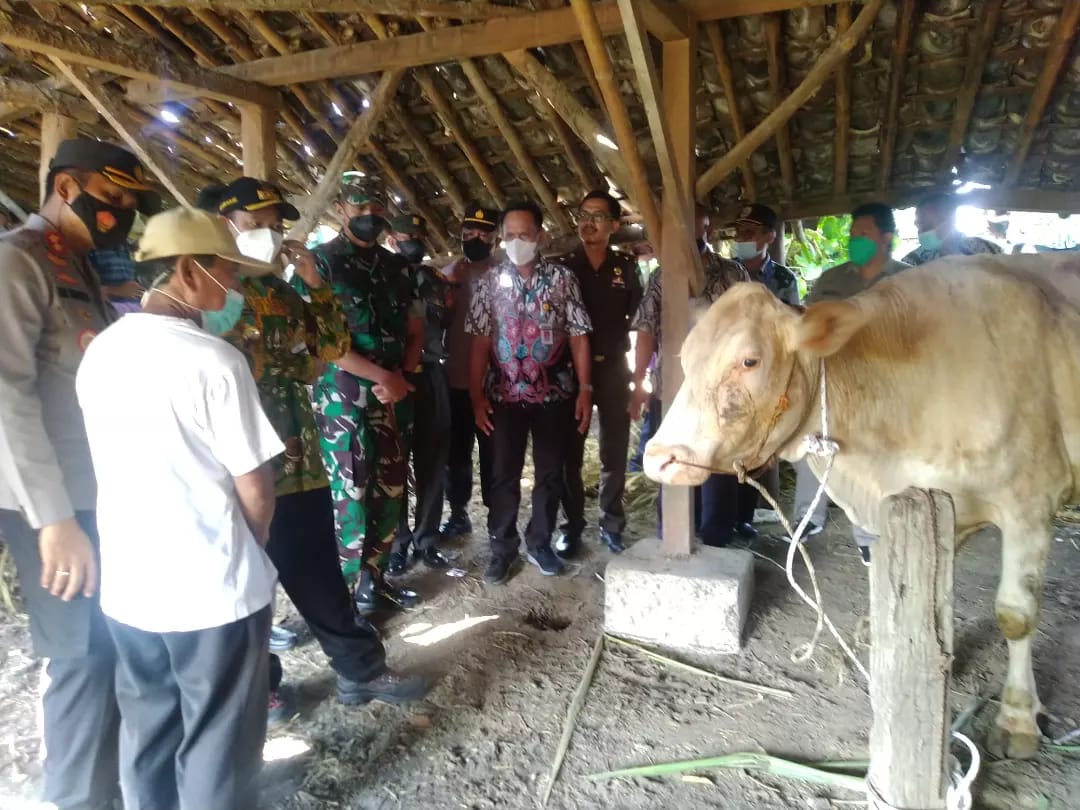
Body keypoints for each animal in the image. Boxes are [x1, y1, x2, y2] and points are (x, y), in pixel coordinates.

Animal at [639, 258, 1080, 760]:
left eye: (749, 360)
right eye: (684, 359)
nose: (659, 458)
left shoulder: (1030, 502)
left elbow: (1016, 614)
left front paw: (1019, 717)